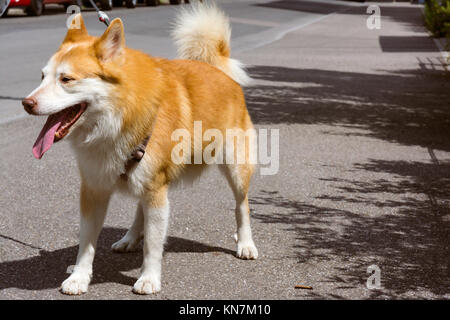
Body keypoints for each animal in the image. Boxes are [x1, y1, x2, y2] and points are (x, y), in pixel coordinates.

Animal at [22, 3, 258, 296]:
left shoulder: (157, 192)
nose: (26, 103)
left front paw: (149, 278)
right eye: (42, 77)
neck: (119, 115)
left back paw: (245, 243)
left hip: (235, 168)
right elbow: (86, 243)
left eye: (66, 79)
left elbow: (153, 245)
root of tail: (218, 70)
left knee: (242, 206)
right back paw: (130, 237)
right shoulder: (93, 190)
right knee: (139, 209)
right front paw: (79, 277)